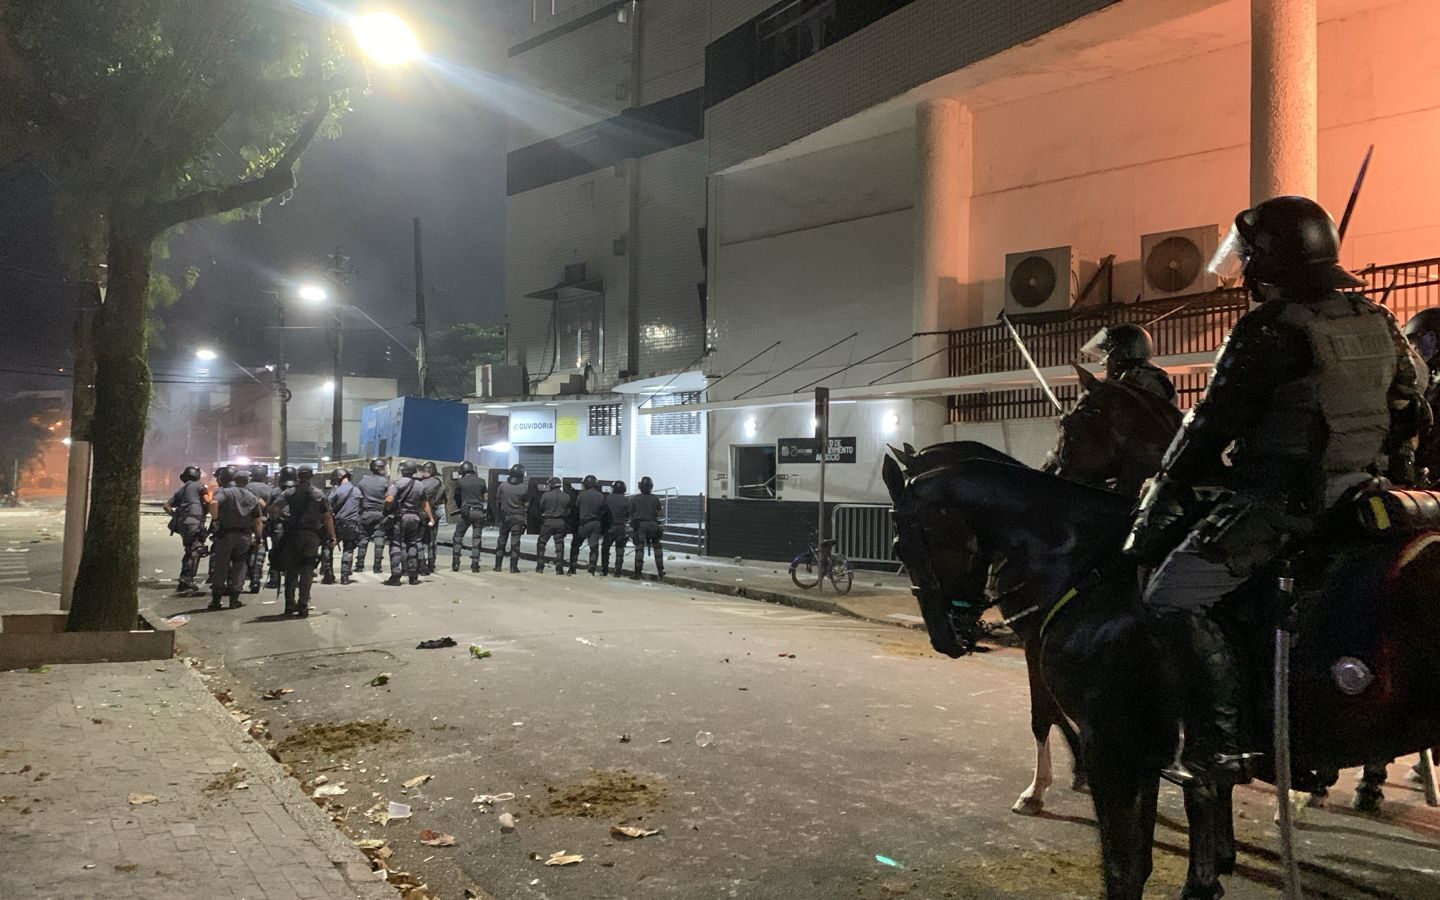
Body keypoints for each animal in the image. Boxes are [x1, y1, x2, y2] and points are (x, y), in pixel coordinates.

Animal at [881, 446, 1440, 898]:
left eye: (902, 546)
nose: (945, 638)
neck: (1089, 564)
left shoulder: (1115, 747)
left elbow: (1124, 868)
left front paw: (1042, 790)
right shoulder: (1154, 749)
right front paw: (1211, 868)